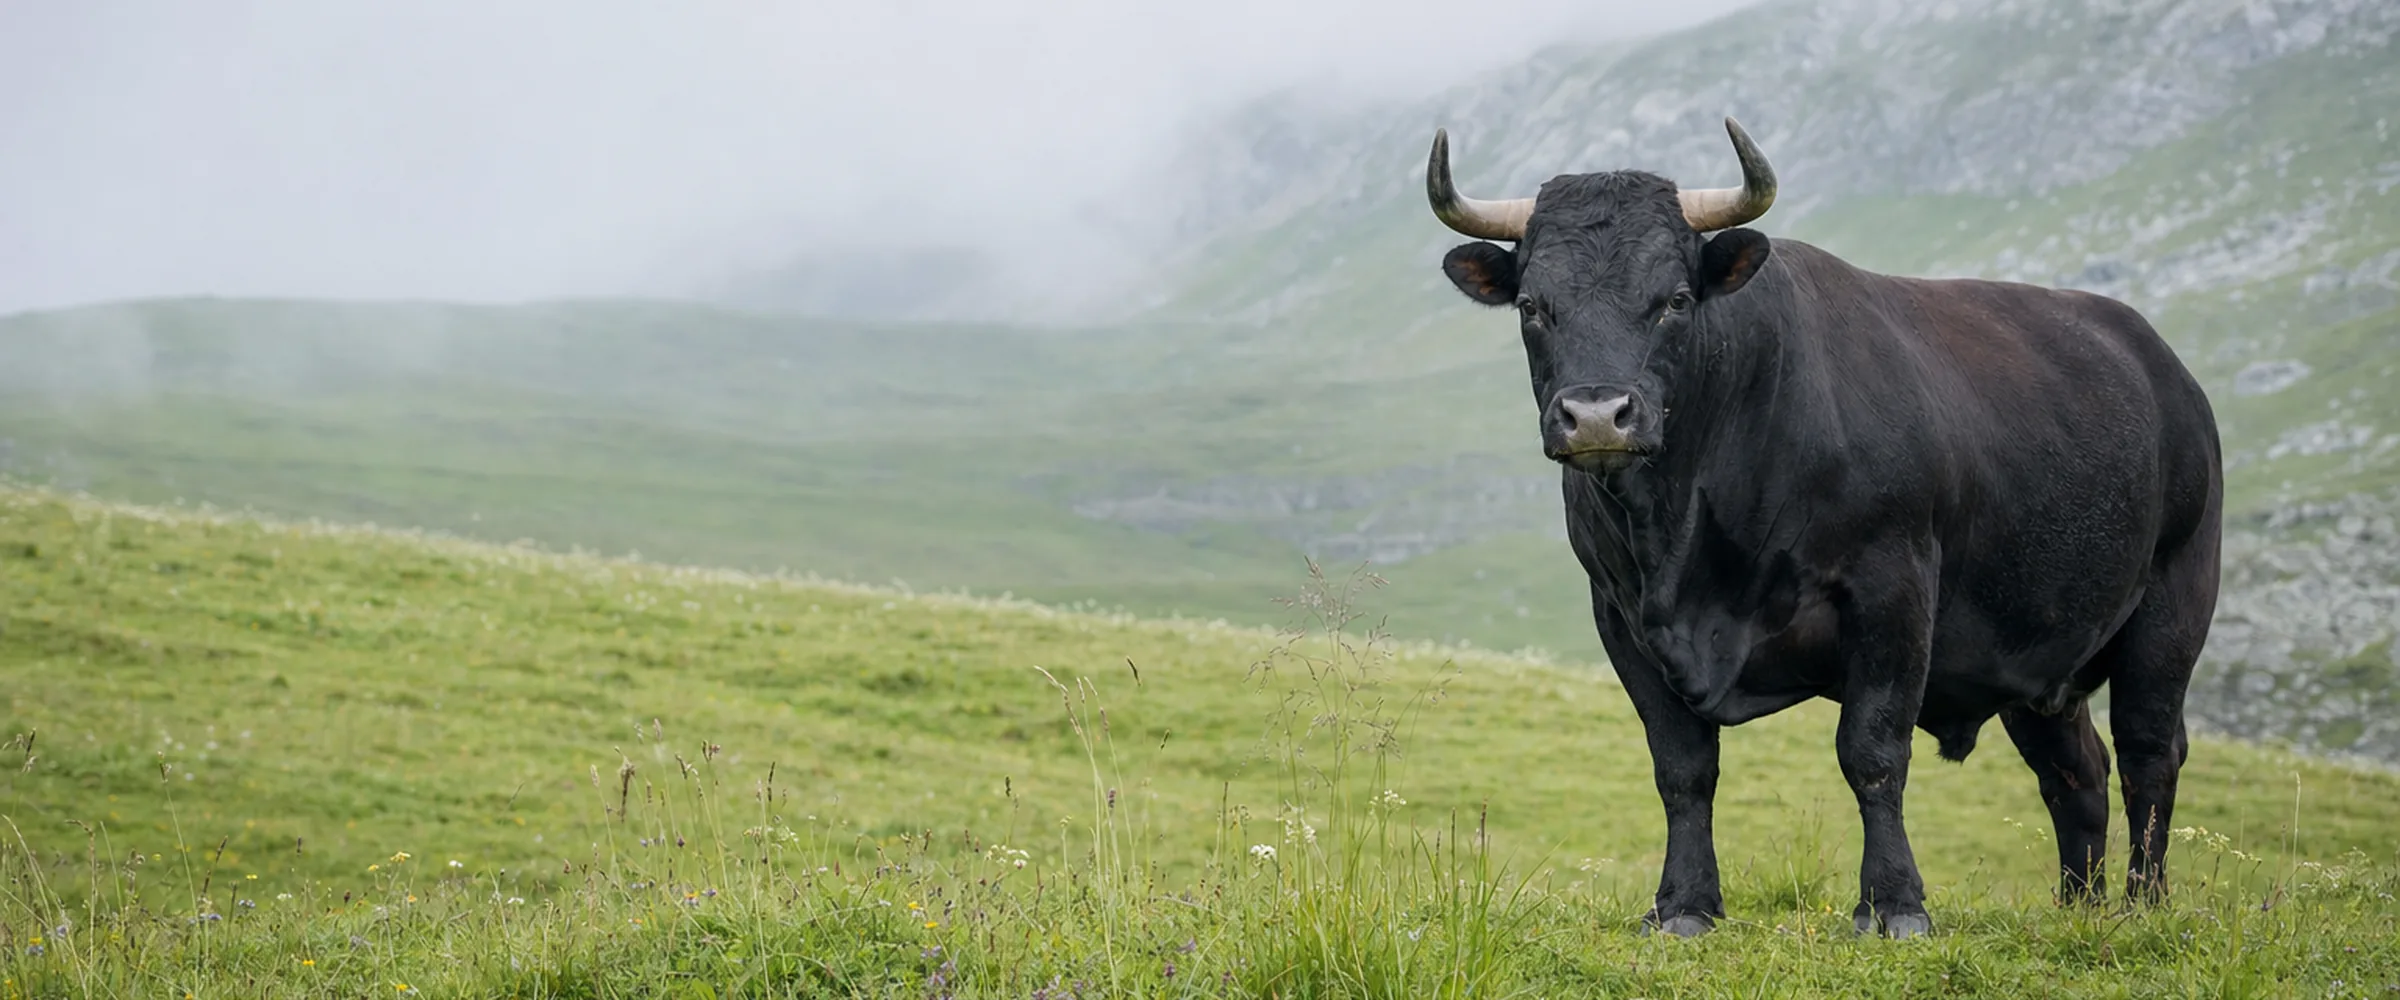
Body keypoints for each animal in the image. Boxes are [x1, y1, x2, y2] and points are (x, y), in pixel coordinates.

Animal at [1424, 119, 2222, 938]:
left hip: (2174, 603)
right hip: (2036, 658)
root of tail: (2164, 368)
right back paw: (2079, 908)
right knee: (2076, 771)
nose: (1594, 416)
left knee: (2150, 749)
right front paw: (1683, 905)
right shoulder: (1621, 617)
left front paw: (1893, 904)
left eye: (1674, 298)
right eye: (1532, 305)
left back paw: (2143, 905)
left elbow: (1871, 752)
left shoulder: (1892, 589)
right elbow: (1681, 768)